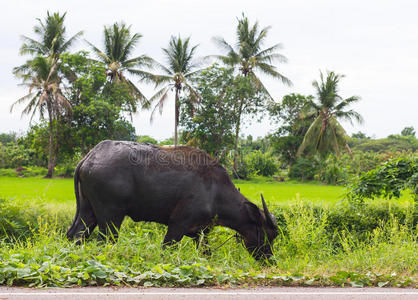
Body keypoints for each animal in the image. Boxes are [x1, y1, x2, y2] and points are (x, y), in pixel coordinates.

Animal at [66, 139, 278, 258]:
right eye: (267, 234)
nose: (269, 259)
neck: (216, 192)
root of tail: (89, 157)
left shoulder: (200, 232)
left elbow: (206, 253)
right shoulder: (178, 224)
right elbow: (166, 249)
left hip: (88, 212)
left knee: (76, 235)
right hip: (111, 217)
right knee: (104, 241)